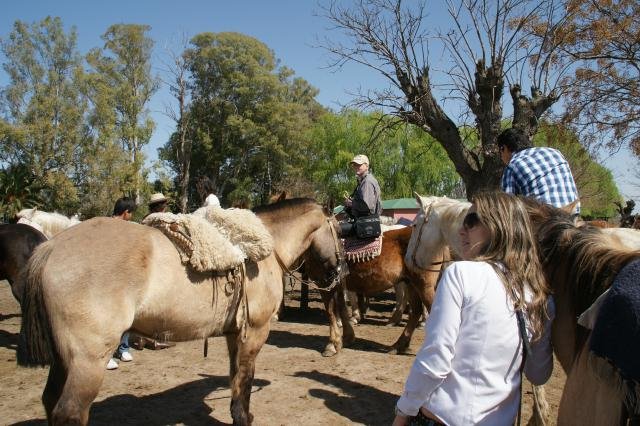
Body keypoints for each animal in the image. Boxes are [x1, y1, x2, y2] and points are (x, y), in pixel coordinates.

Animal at [17, 200, 344, 426]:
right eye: (340, 230)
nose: (339, 271)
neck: (266, 248)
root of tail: (50, 248)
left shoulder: (234, 334)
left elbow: (235, 377)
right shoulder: (255, 331)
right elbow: (246, 377)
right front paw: (243, 417)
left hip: (63, 360)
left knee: (50, 401)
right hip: (87, 361)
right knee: (69, 412)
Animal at [308, 226, 448, 356]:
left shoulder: (324, 283)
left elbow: (331, 311)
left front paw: (332, 345)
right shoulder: (335, 284)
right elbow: (341, 308)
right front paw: (346, 338)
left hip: (423, 285)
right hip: (411, 284)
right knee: (416, 311)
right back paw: (398, 346)